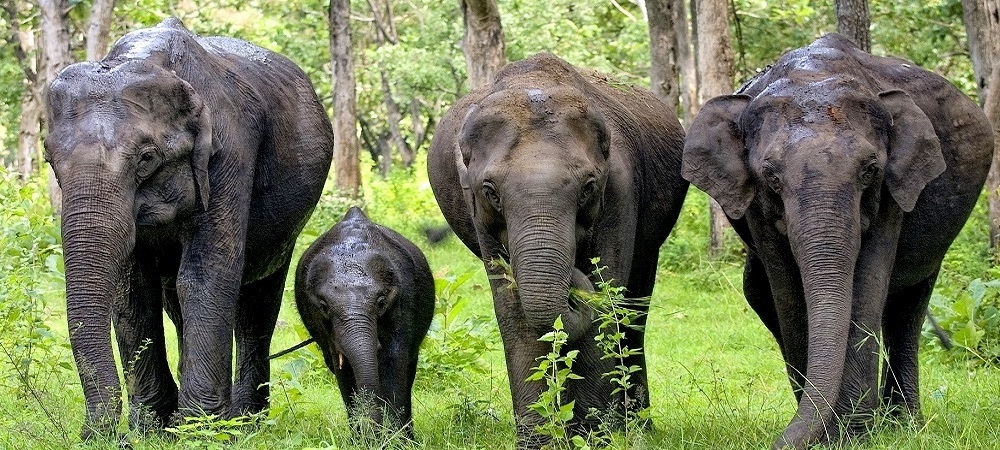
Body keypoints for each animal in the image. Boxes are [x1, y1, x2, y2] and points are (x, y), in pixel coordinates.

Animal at [45, 19, 334, 438]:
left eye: (147, 158)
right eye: (49, 158)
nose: (100, 434)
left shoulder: (230, 153)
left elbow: (206, 275)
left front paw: (200, 429)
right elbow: (132, 290)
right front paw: (153, 429)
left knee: (257, 301)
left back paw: (245, 420)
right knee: (176, 300)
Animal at [296, 207, 438, 436]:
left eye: (381, 302)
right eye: (324, 307)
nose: (373, 427)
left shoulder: (404, 299)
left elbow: (394, 360)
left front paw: (393, 439)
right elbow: (343, 369)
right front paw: (365, 438)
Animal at [426, 51, 692, 446]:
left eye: (587, 188)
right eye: (491, 191)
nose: (573, 274)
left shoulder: (620, 189)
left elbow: (605, 296)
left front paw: (594, 438)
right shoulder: (477, 211)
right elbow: (514, 311)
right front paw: (539, 443)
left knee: (633, 310)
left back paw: (636, 428)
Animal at [680, 33, 992, 448]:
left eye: (869, 171)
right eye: (771, 176)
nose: (778, 442)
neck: (815, 73)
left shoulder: (893, 191)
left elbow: (867, 289)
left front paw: (854, 434)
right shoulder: (755, 204)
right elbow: (788, 294)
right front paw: (831, 433)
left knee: (908, 305)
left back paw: (904, 425)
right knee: (759, 294)